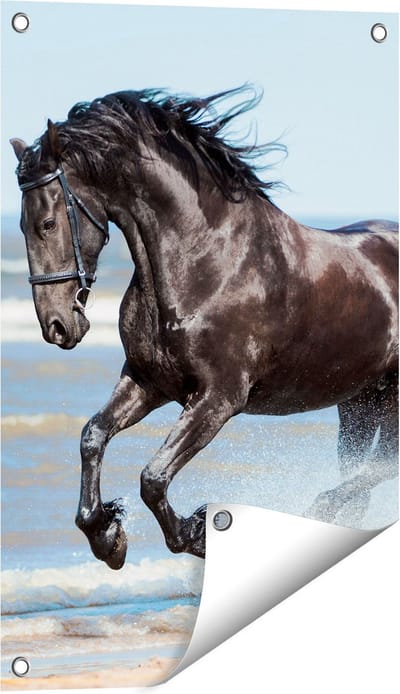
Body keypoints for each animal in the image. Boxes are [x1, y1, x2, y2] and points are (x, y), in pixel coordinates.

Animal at [11, 87, 398, 570]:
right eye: (21, 225)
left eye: (47, 223)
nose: (57, 326)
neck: (205, 260)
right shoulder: (148, 381)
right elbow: (92, 437)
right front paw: (107, 537)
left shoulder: (218, 399)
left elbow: (153, 477)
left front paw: (197, 533)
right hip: (359, 402)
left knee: (380, 467)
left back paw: (313, 513)